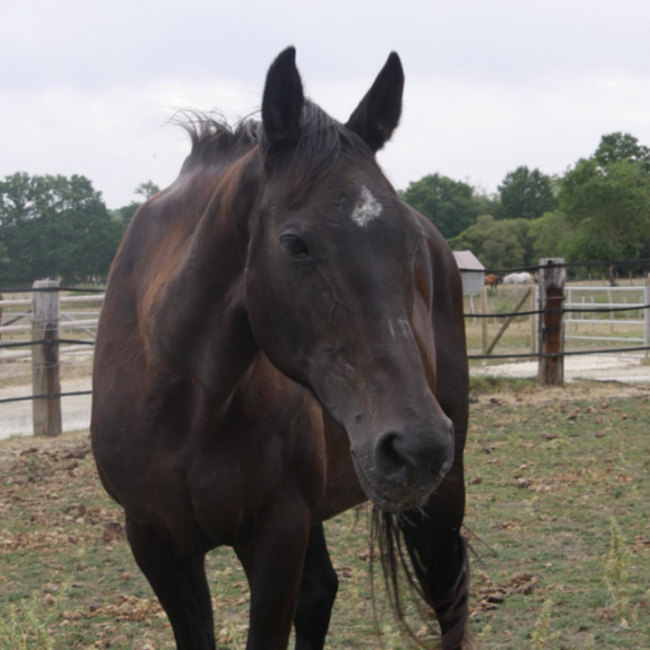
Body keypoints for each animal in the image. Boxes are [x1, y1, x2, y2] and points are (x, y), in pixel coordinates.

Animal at [91, 47, 470, 650]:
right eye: (294, 244)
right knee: (320, 594)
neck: (187, 398)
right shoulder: (156, 543)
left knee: (448, 591)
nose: (418, 447)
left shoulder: (277, 536)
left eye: (407, 241)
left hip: (439, 496)